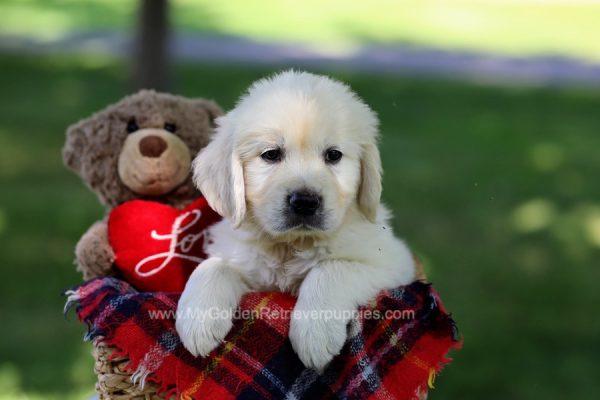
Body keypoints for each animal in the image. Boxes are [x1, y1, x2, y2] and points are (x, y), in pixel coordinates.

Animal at [176, 69, 414, 372]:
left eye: (333, 155)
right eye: (271, 154)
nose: (305, 202)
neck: (291, 246)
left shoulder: (393, 263)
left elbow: (331, 268)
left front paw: (315, 333)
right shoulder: (246, 263)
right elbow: (212, 267)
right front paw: (198, 321)